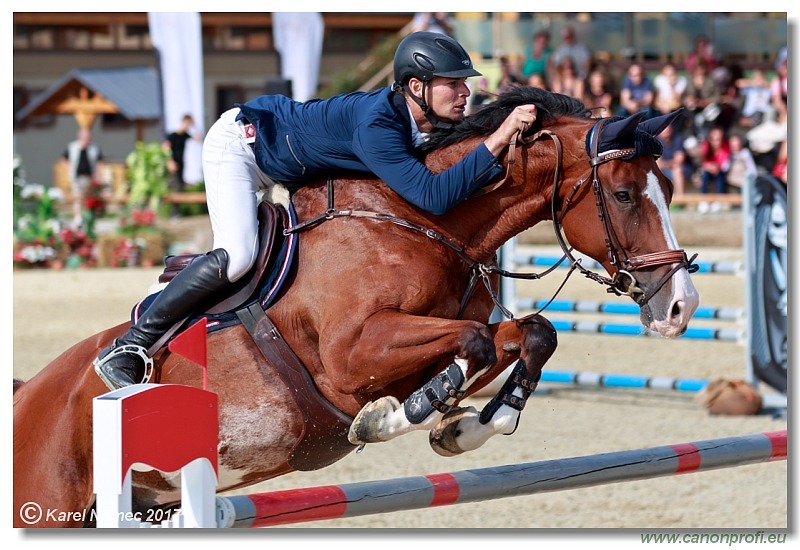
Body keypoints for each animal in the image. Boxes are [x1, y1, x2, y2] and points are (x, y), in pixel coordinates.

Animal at [14, 87, 700, 532]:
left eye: (669, 187)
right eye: (623, 194)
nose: (680, 306)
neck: (424, 220)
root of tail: (29, 394)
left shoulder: (445, 328)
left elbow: (530, 333)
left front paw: (468, 426)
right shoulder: (350, 357)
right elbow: (475, 344)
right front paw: (399, 415)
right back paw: (124, 361)